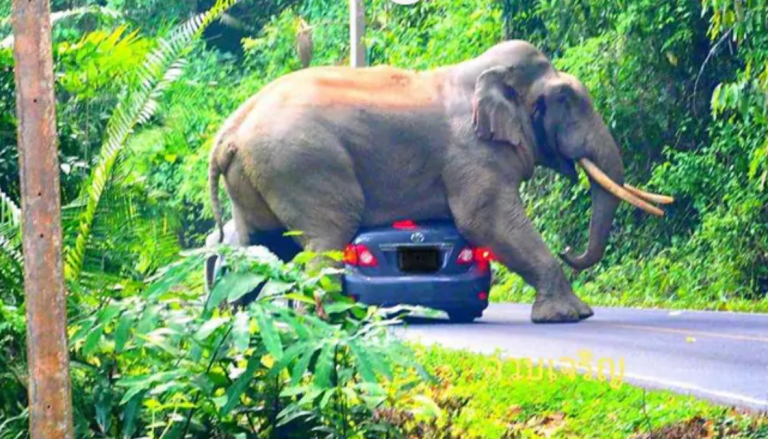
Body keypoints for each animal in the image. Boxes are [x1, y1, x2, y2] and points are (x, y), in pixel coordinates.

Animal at [207, 39, 673, 323]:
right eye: (565, 99)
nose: (570, 250)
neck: (481, 74)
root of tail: (230, 130)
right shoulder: (471, 152)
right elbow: (484, 221)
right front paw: (571, 316)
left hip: (258, 176)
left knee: (259, 243)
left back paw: (236, 317)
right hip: (302, 165)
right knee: (327, 235)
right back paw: (330, 319)